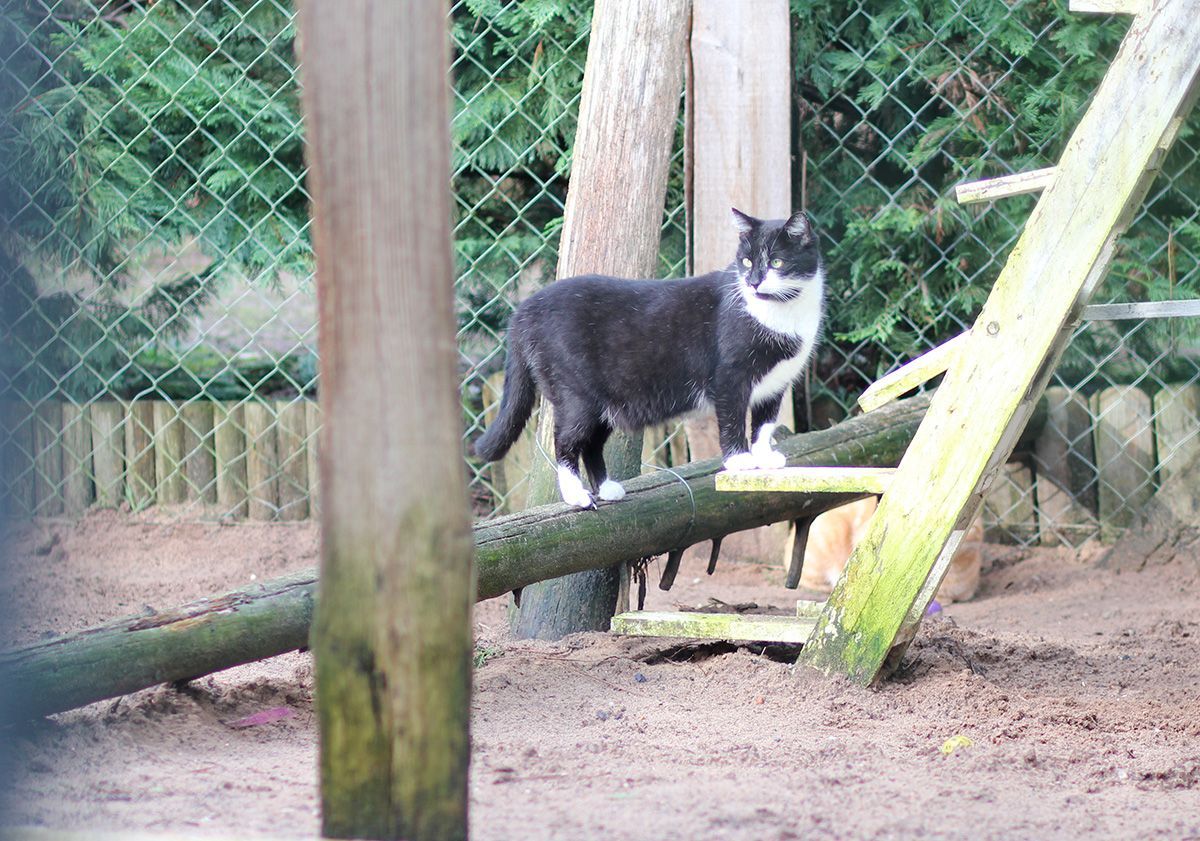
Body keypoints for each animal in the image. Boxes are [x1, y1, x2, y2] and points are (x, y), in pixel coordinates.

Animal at [472, 206, 820, 508]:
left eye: (776, 262)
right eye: (746, 261)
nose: (753, 281)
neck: (781, 312)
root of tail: (525, 310)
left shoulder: (776, 383)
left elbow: (765, 424)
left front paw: (764, 457)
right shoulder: (730, 377)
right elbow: (733, 418)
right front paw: (740, 460)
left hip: (606, 401)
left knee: (592, 442)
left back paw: (607, 488)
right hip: (575, 392)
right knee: (565, 441)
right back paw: (576, 495)